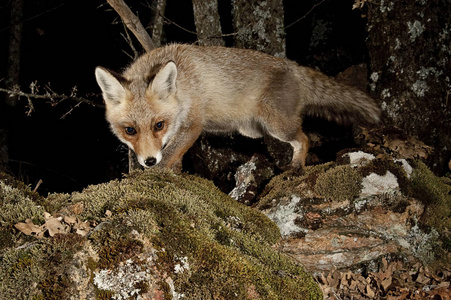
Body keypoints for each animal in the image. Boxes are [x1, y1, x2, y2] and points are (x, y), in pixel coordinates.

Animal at [95, 44, 382, 171]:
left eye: (158, 125)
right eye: (130, 130)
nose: (149, 160)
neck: (184, 85)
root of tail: (294, 67)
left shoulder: (193, 125)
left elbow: (170, 155)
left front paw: (154, 174)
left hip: (277, 125)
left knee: (304, 138)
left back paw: (296, 167)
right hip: (252, 130)